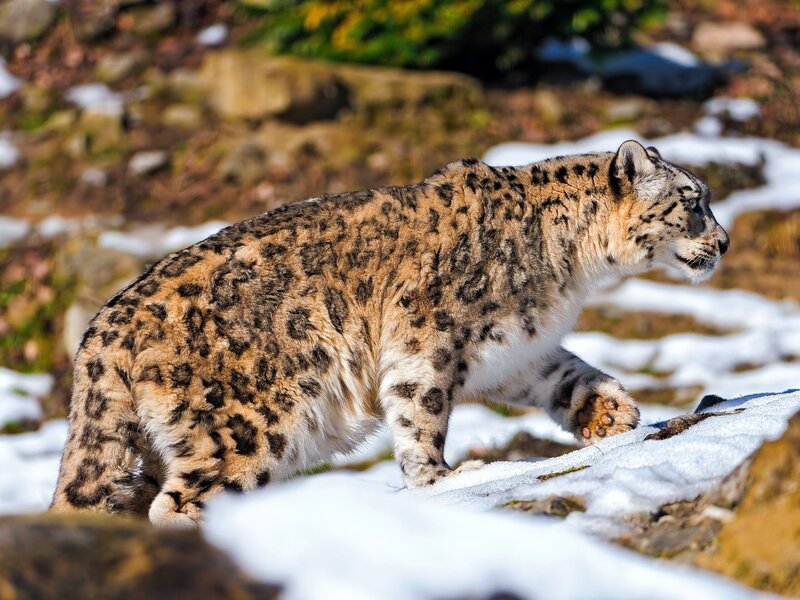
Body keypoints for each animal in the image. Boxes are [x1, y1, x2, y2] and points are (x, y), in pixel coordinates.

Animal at [50, 140, 729, 527]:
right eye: (693, 201)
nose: (724, 241)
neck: (568, 272)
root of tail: (102, 331)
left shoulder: (514, 350)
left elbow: (563, 372)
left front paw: (610, 412)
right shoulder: (427, 338)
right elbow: (420, 408)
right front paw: (443, 477)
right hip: (252, 425)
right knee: (180, 502)